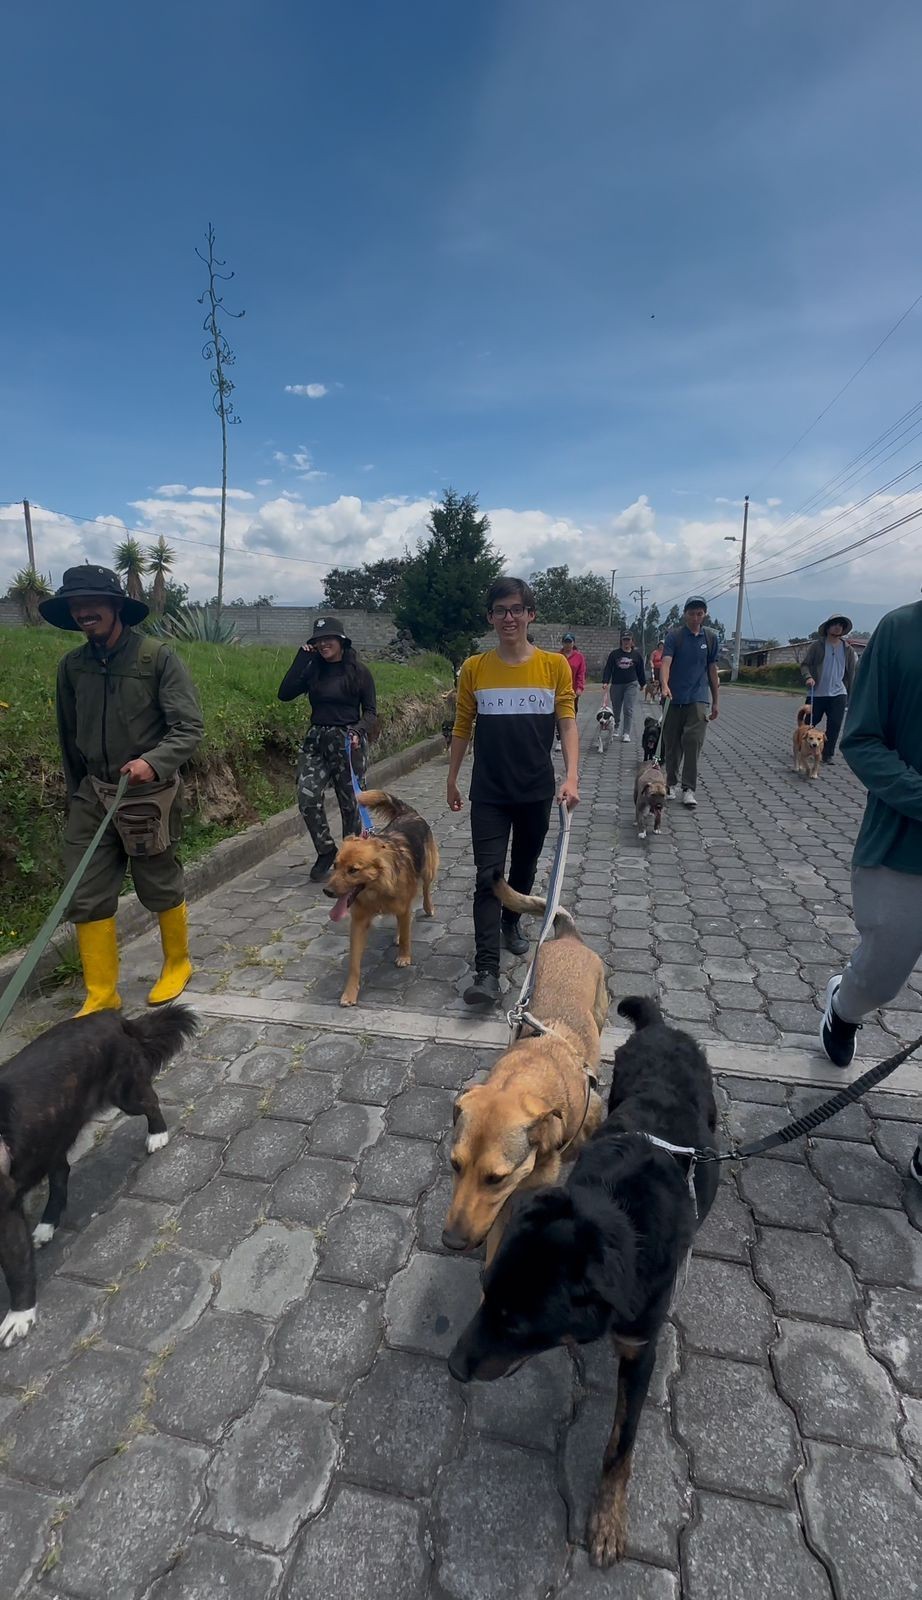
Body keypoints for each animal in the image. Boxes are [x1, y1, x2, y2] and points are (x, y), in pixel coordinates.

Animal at [0, 1004, 196, 1344]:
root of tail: (109, 1016)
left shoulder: (6, 1214)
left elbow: (17, 1271)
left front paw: (19, 1316)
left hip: (125, 1093)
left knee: (151, 1102)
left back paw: (157, 1135)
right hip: (53, 1132)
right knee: (60, 1174)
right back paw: (46, 1225)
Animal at [323, 793, 438, 1004]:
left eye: (353, 870)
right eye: (335, 865)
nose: (327, 891)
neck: (376, 888)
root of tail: (408, 813)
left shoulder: (403, 905)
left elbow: (407, 935)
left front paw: (404, 956)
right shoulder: (359, 922)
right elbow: (354, 963)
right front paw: (350, 993)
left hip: (428, 870)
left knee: (426, 890)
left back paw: (428, 908)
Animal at [451, 992, 717, 1568]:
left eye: (519, 1323)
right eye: (485, 1296)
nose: (453, 1368)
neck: (615, 1213)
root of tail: (662, 1027)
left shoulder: (641, 1348)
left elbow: (621, 1444)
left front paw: (608, 1519)